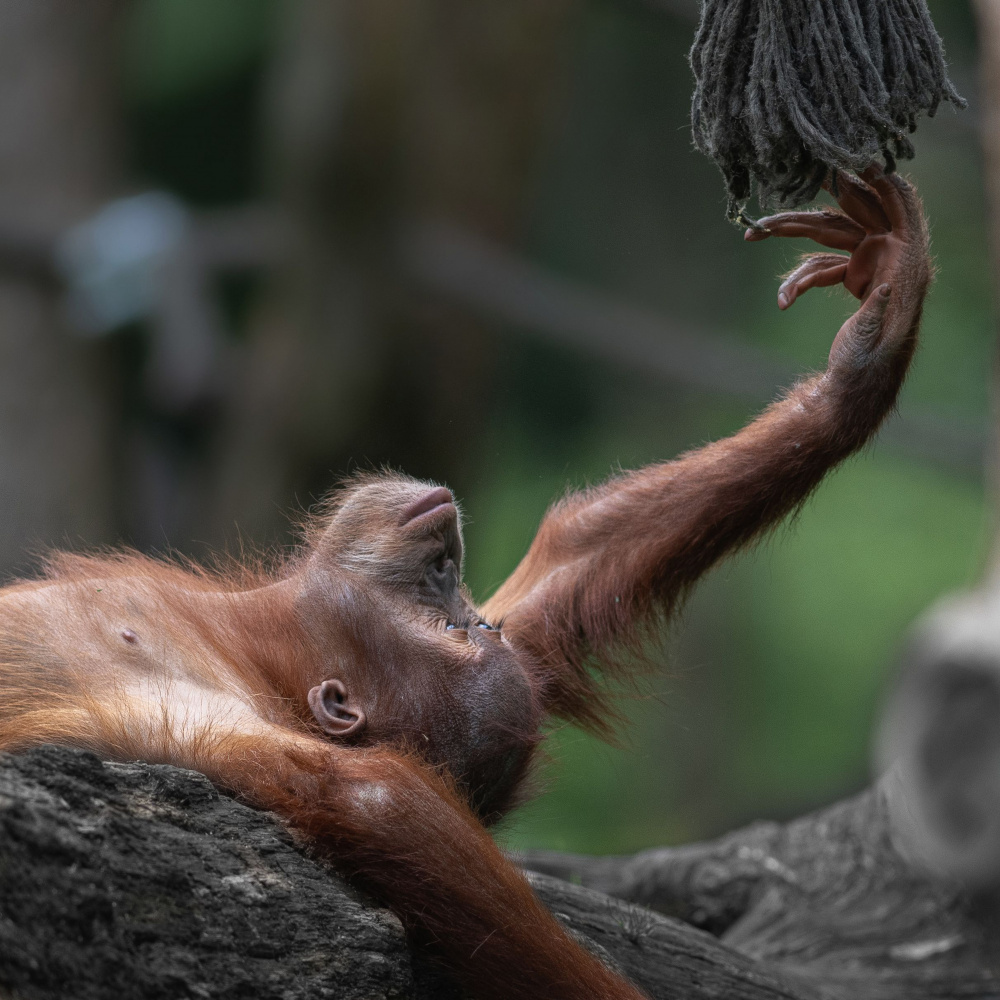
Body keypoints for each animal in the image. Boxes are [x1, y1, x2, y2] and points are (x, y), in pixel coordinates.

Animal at [0, 168, 929, 1000]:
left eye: (461, 628)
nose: (453, 580)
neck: (230, 643)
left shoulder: (197, 710)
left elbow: (383, 803)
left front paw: (871, 336)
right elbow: (553, 581)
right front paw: (873, 331)